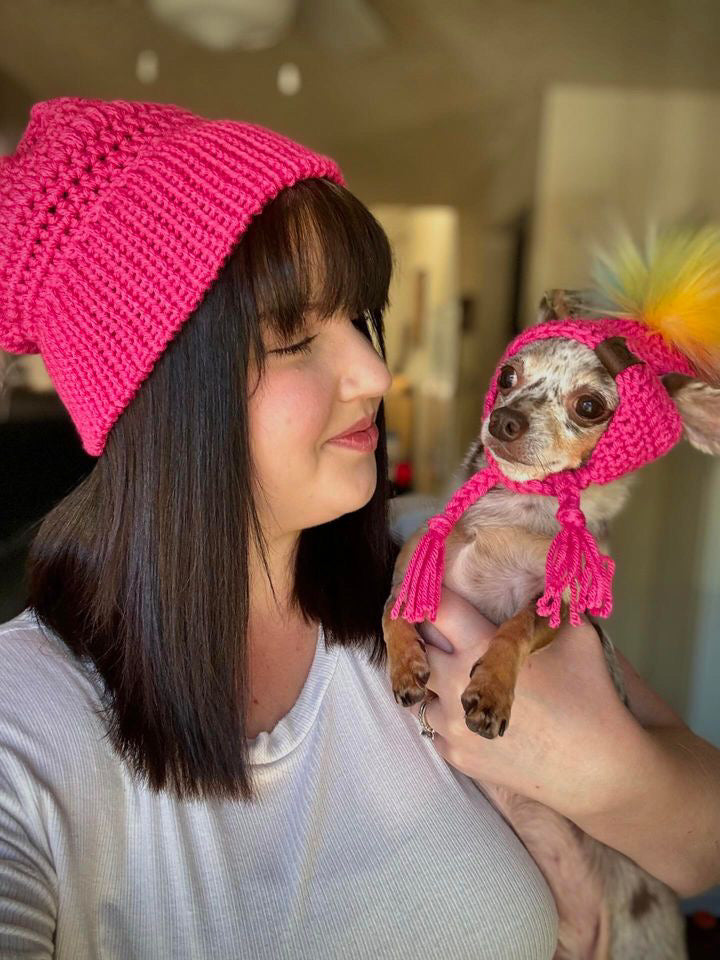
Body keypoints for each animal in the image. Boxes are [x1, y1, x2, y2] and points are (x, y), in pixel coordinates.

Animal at [386, 288, 716, 956]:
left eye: (590, 406)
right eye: (508, 376)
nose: (505, 420)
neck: (517, 511)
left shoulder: (554, 607)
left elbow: (513, 630)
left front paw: (491, 688)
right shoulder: (413, 569)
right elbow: (391, 616)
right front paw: (406, 663)